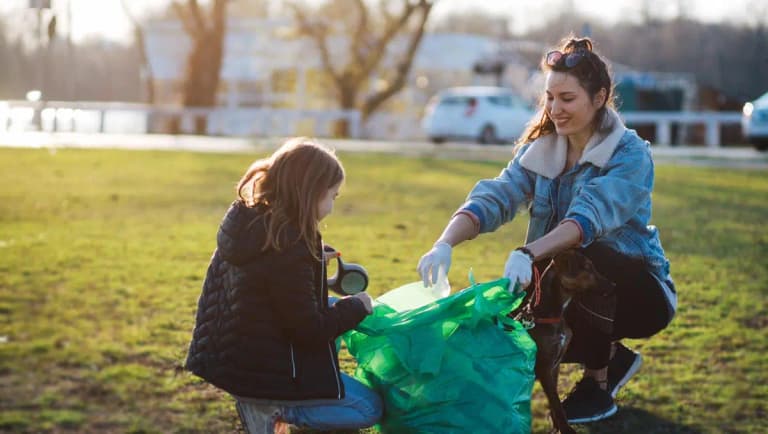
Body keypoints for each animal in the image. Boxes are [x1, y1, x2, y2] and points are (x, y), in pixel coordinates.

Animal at [516, 251, 616, 434]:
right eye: (587, 267)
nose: (613, 285)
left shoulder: (555, 365)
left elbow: (554, 400)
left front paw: (557, 426)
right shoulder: (544, 367)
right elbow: (555, 401)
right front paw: (566, 428)